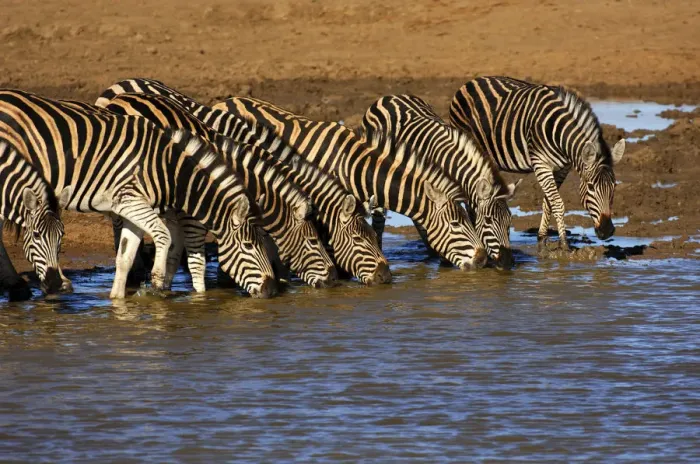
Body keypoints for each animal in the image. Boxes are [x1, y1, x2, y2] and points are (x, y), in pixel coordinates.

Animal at [361, 94, 521, 269]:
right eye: (488, 220)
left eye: (510, 219)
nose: (507, 262)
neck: (452, 165)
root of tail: (389, 97)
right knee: (379, 222)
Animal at [449, 76, 625, 250]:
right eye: (590, 187)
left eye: (614, 186)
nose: (607, 231)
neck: (558, 132)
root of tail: (471, 81)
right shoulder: (541, 164)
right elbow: (557, 203)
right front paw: (564, 244)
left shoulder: (562, 168)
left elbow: (548, 202)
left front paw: (542, 237)